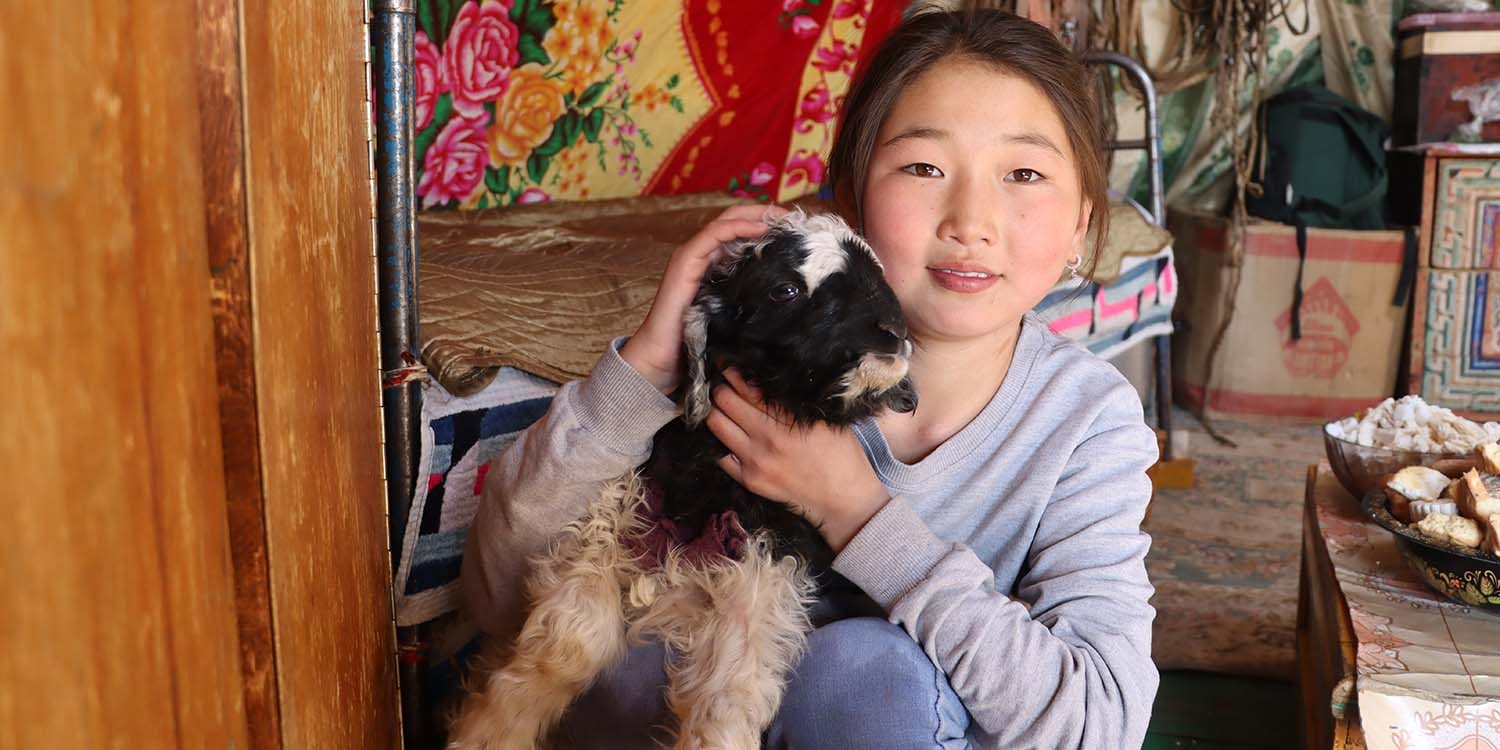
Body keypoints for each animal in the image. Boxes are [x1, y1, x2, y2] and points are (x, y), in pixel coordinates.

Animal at [444, 210, 912, 750]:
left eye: (879, 279)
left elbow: (726, 700)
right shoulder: (611, 523)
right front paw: (484, 735)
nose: (894, 332)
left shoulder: (762, 570)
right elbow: (568, 643)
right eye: (786, 290)